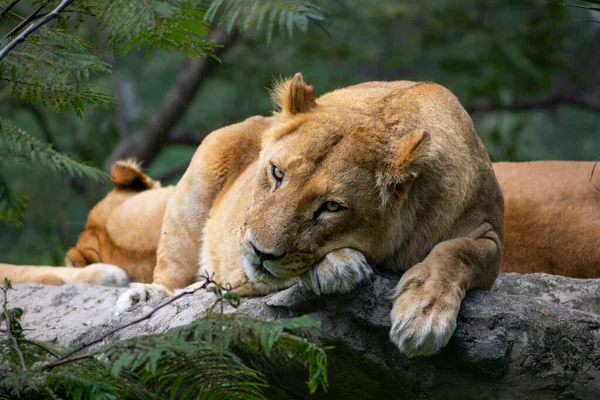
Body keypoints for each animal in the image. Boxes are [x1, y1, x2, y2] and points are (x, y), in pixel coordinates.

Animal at [115, 73, 504, 358]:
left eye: (331, 207)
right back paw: (142, 296)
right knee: (172, 276)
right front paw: (338, 266)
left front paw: (424, 315)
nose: (258, 252)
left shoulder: (491, 236)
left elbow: (458, 252)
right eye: (276, 172)